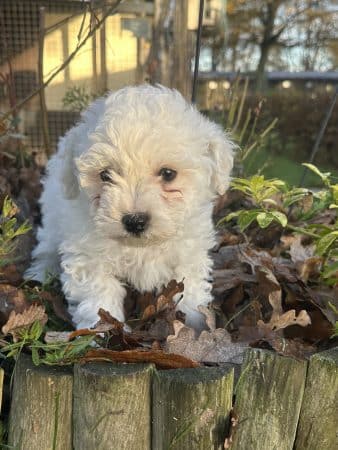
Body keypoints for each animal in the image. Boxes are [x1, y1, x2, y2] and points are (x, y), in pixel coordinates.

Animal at [25, 85, 232, 330]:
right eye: (105, 175)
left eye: (168, 173)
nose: (135, 221)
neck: (141, 247)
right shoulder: (89, 258)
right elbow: (99, 294)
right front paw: (100, 331)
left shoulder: (188, 254)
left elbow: (190, 288)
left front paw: (196, 322)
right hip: (53, 218)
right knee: (46, 247)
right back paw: (41, 272)